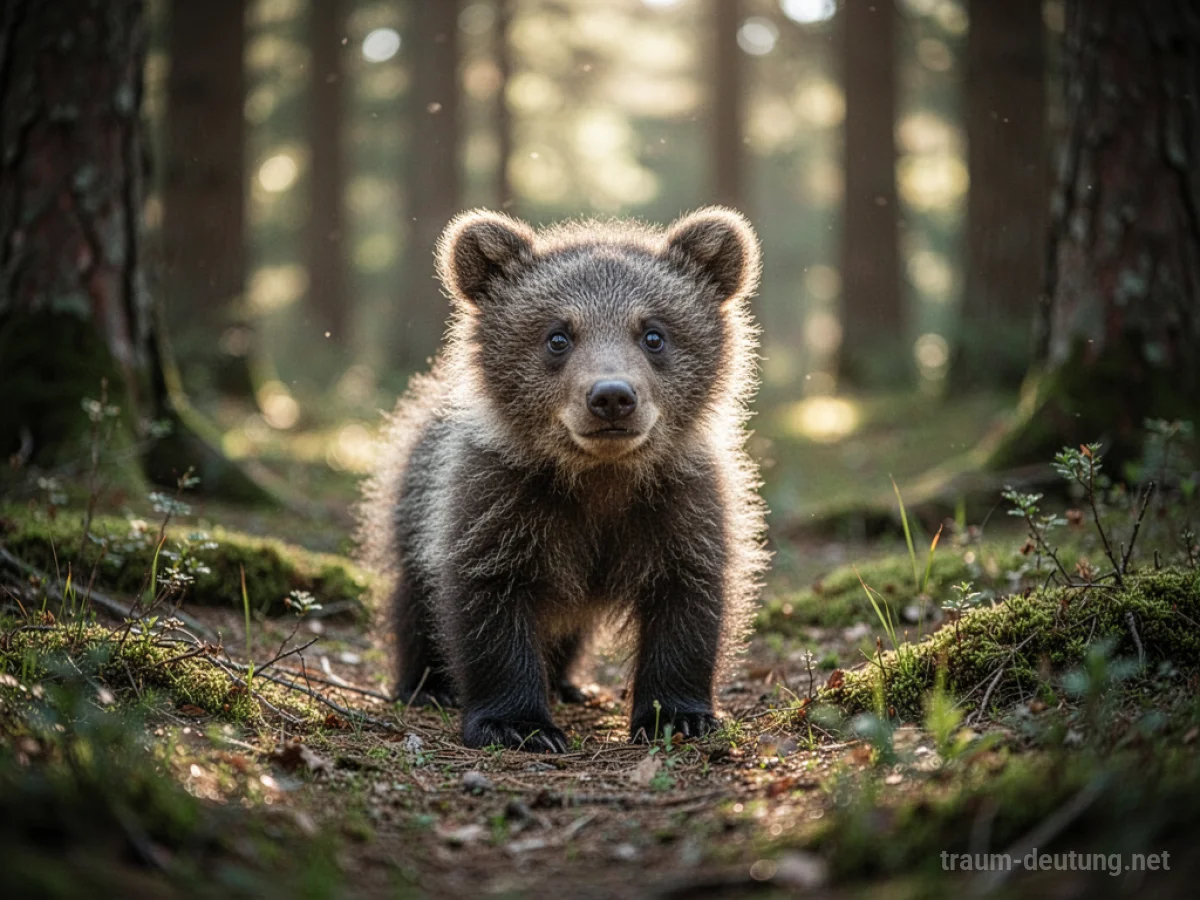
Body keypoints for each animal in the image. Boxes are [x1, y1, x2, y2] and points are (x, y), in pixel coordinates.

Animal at [357, 207, 768, 752]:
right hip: (414, 502)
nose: (612, 396)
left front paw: (678, 716)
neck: (600, 478)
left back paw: (569, 682)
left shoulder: (679, 505)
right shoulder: (497, 502)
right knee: (415, 598)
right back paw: (427, 685)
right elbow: (488, 600)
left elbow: (688, 599)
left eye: (653, 333)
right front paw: (518, 723)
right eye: (558, 335)